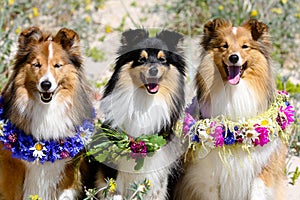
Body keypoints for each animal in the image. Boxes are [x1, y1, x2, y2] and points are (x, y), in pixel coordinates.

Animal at [0, 27, 94, 200]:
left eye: (57, 65)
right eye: (36, 65)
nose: (46, 84)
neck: (46, 110)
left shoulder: (69, 168)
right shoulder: (11, 165)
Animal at [175, 18, 288, 199]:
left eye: (245, 46)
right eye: (224, 45)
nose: (234, 57)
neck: (234, 92)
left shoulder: (262, 169)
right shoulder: (208, 173)